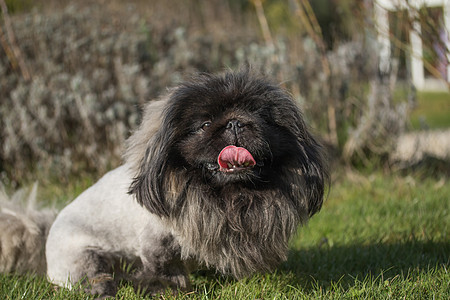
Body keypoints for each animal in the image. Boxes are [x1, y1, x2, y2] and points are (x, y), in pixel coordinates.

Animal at [44, 69, 328, 296]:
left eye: (261, 119)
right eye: (204, 124)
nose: (235, 123)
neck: (227, 195)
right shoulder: (157, 243)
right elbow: (165, 267)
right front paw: (167, 290)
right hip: (84, 259)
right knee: (94, 278)